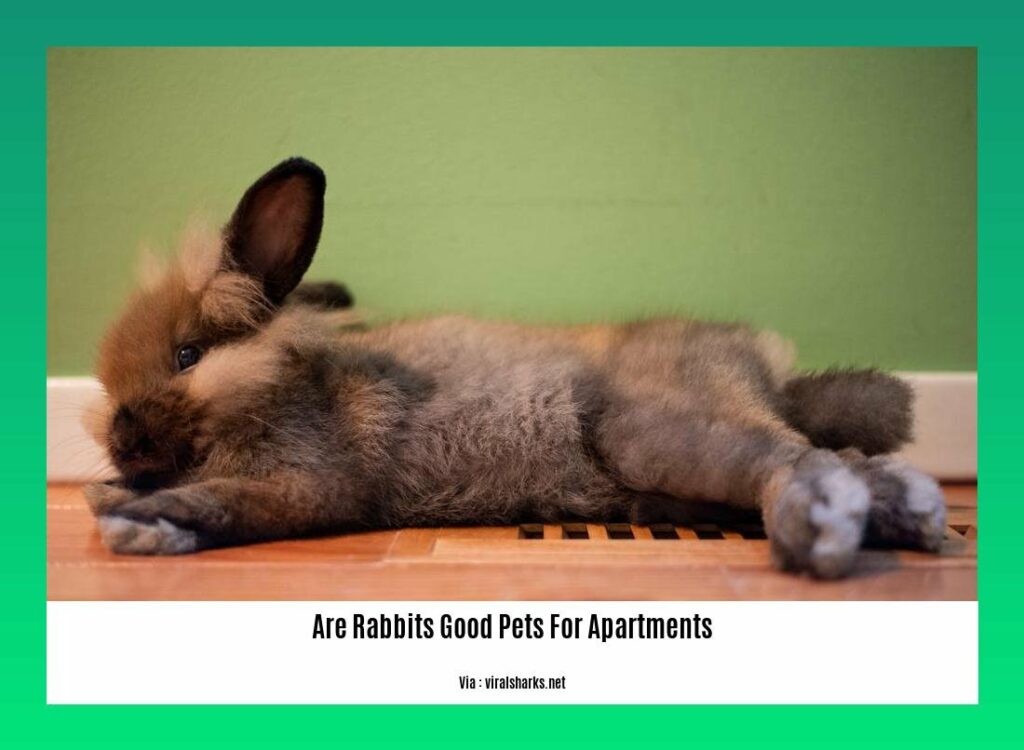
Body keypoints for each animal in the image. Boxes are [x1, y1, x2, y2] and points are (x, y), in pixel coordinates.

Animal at [82, 156, 946, 578]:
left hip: (656, 433)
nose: (122, 440)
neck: (279, 384)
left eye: (188, 355)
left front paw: (139, 519)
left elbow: (229, 502)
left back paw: (823, 524)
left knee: (802, 462)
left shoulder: (310, 484)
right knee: (842, 458)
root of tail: (764, 369)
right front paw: (121, 502)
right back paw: (910, 516)